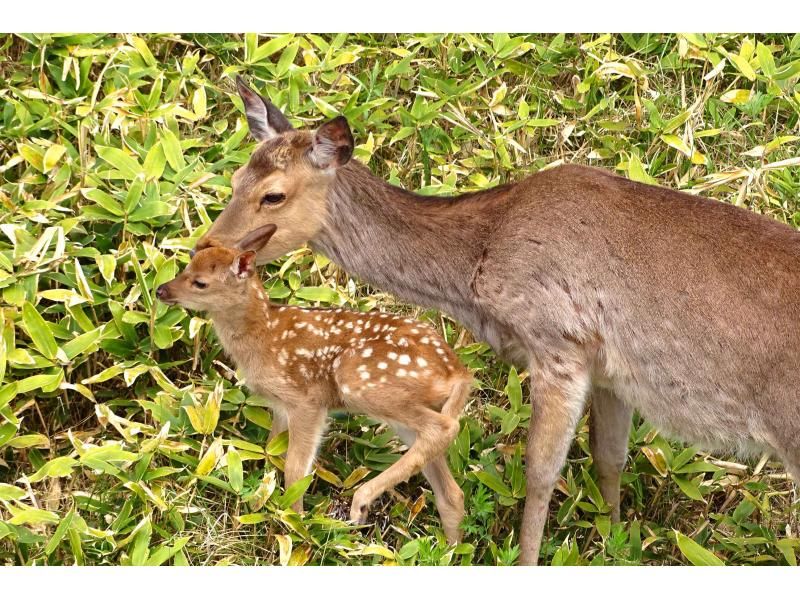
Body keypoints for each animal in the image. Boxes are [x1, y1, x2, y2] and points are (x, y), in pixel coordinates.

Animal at [197, 76, 800, 568]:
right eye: (235, 177)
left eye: (274, 195)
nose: (206, 249)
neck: (480, 268)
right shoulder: (611, 371)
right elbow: (609, 458)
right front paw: (612, 542)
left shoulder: (557, 342)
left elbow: (539, 471)